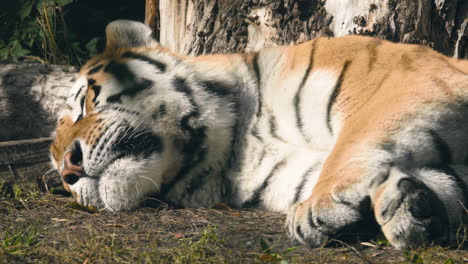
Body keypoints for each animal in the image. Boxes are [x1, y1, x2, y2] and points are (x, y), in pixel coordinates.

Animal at [49, 19, 466, 249]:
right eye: (59, 173)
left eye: (85, 102)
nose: (69, 168)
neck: (235, 145)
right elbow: (450, 183)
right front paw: (412, 207)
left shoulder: (407, 75)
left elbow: (356, 137)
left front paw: (318, 207)